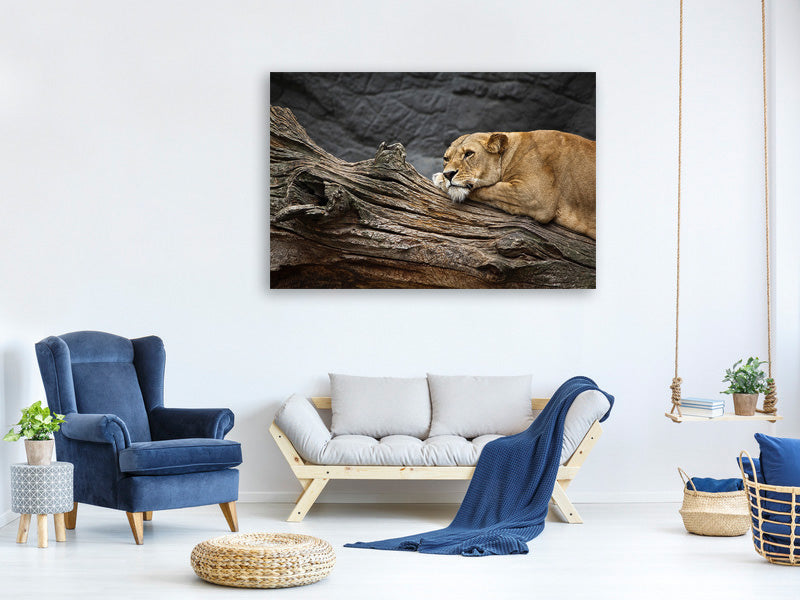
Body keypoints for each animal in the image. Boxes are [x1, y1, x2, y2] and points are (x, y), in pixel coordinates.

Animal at [432, 130, 596, 239]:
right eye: (446, 158)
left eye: (468, 154)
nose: (448, 174)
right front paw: (441, 177)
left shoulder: (535, 196)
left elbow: (488, 189)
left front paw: (440, 179)